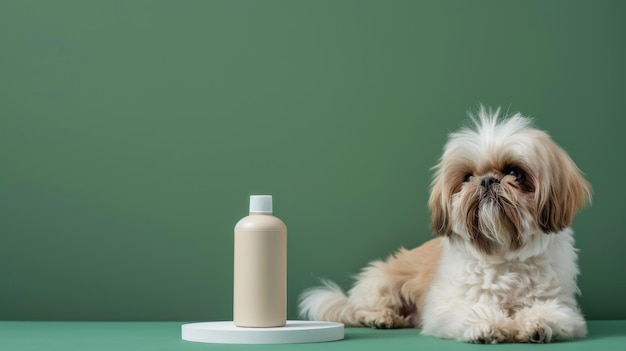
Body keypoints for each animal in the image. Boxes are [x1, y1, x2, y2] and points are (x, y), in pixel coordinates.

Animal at [298, 107, 588, 344]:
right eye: (468, 177)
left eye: (514, 173)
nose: (487, 180)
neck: (504, 253)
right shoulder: (446, 306)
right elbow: (472, 310)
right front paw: (488, 325)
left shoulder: (562, 306)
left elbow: (550, 313)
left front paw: (535, 324)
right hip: (382, 281)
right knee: (361, 308)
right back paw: (381, 318)